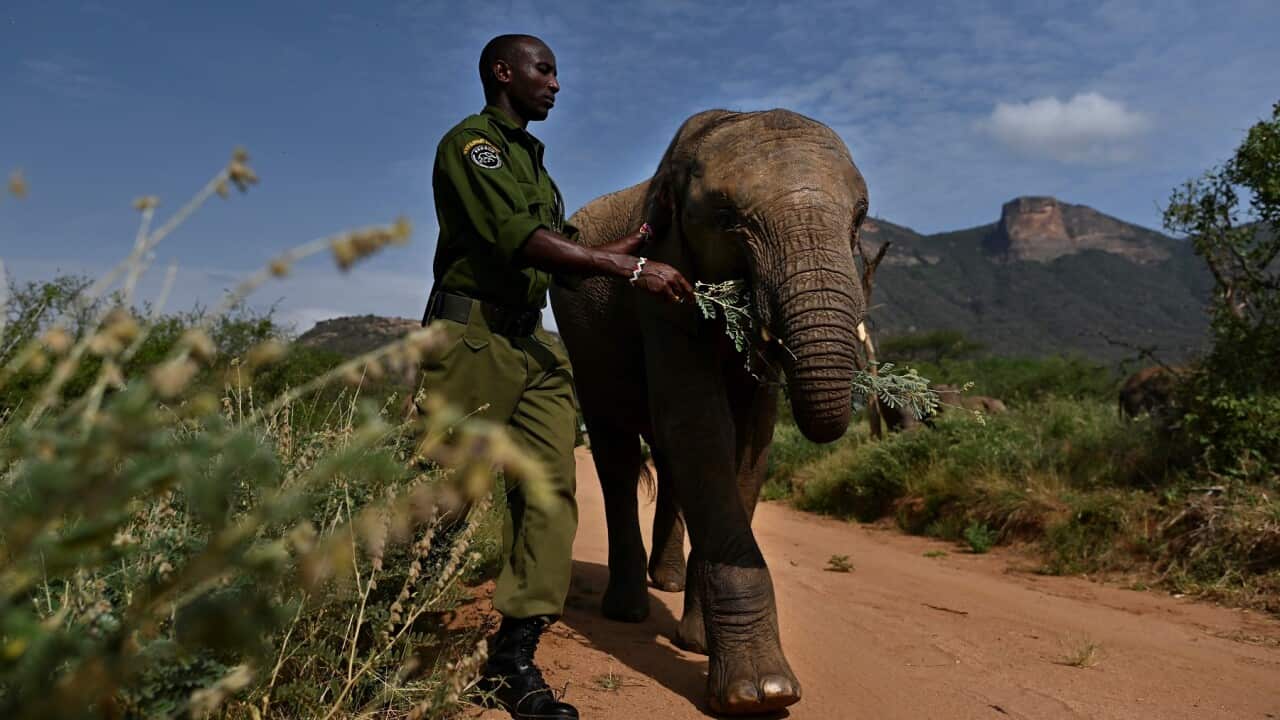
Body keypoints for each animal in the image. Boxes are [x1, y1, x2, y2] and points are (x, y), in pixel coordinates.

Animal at [549, 109, 869, 714]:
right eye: (726, 219)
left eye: (861, 219)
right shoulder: (665, 275)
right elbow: (698, 425)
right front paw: (759, 694)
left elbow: (749, 441)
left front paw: (698, 645)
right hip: (584, 342)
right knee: (617, 453)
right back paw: (627, 609)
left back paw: (669, 585)